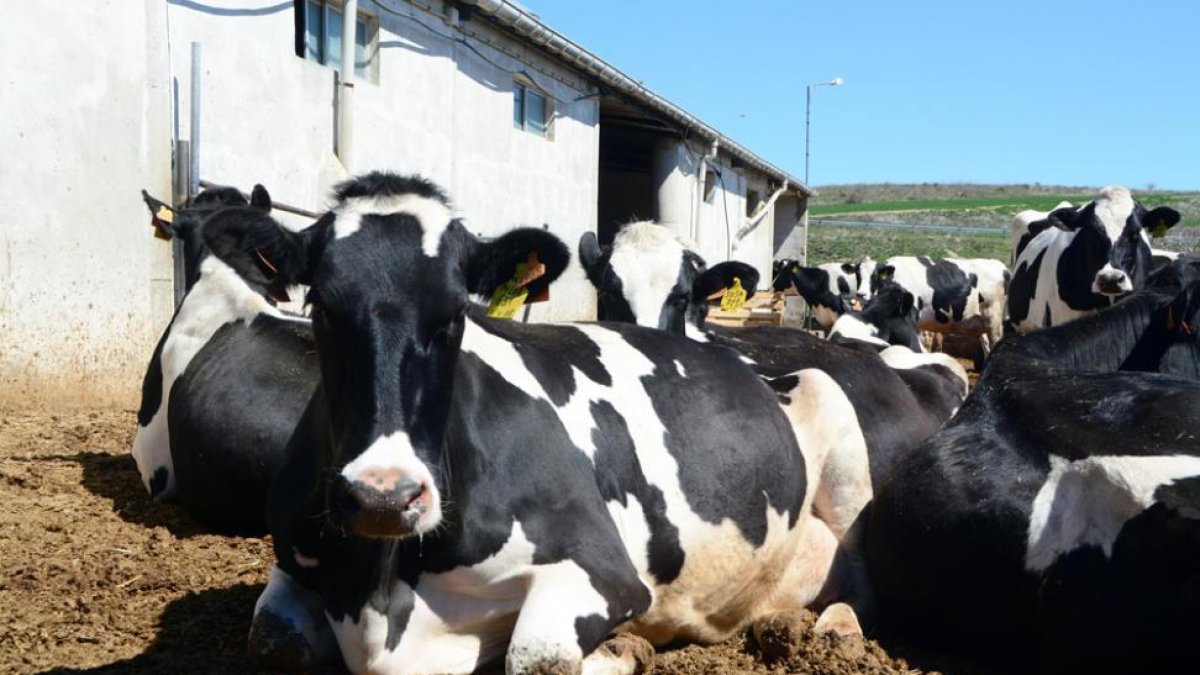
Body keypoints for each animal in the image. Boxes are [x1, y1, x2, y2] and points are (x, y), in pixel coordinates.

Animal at [208, 173, 860, 674]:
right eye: (319, 306)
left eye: (456, 314)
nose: (382, 497)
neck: (381, 586)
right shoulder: (291, 559)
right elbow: (272, 644)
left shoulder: (604, 569)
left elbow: (537, 658)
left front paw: (623, 649)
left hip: (837, 423)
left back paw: (834, 630)